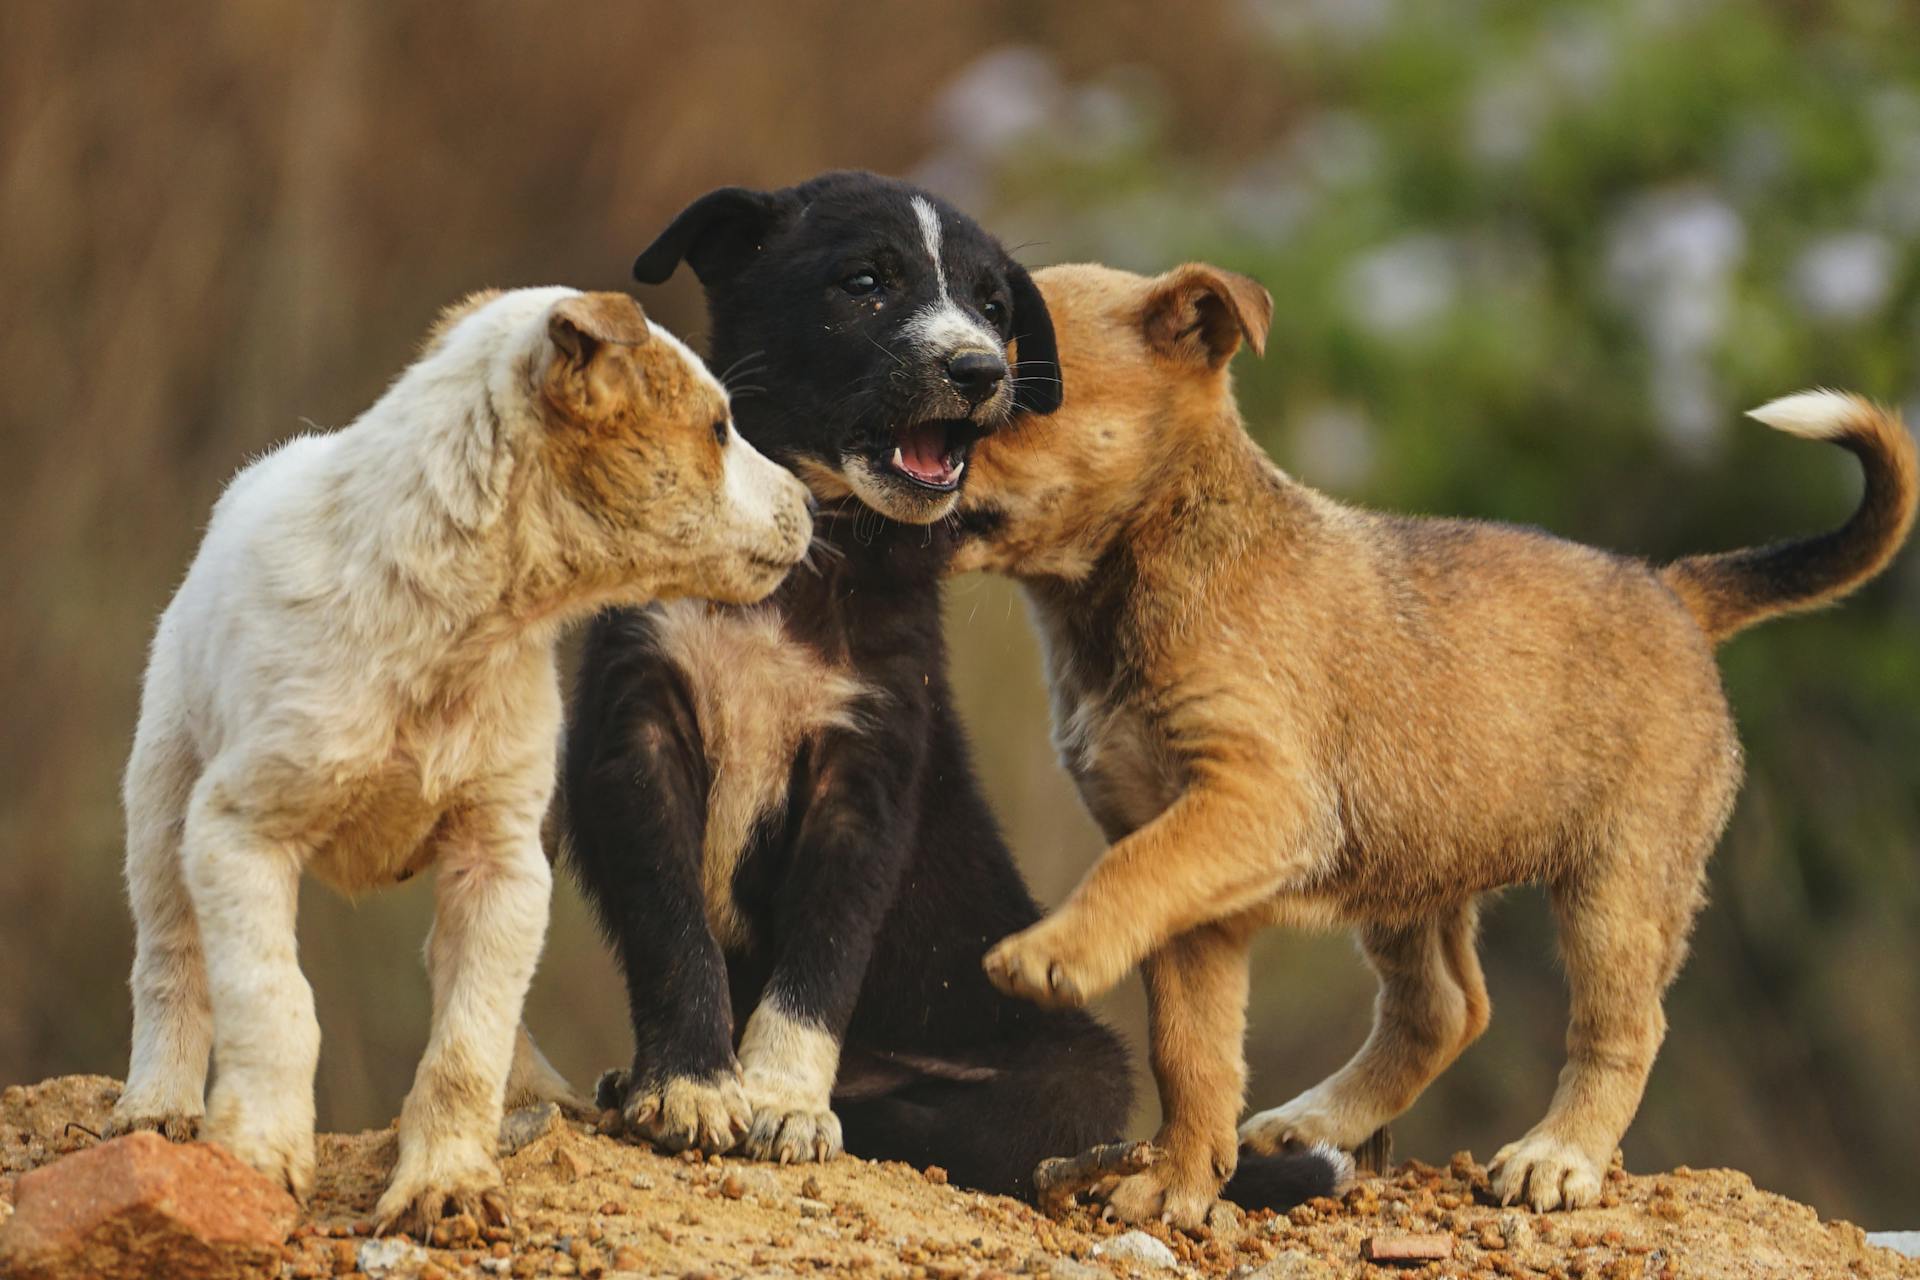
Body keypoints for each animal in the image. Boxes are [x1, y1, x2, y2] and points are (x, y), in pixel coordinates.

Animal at [107, 285, 810, 1235]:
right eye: (719, 429)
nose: (813, 502)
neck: (461, 629)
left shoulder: (501, 859)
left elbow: (465, 1042)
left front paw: (446, 1181)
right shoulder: (239, 831)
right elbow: (274, 1003)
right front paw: (258, 1154)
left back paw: (537, 1094)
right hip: (162, 802)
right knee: (170, 962)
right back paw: (157, 1106)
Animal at [952, 257, 1912, 1220]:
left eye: (1017, 394)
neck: (1147, 562)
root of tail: (1674, 589)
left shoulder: (1255, 800)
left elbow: (1125, 879)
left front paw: (1051, 955)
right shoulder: (1194, 883)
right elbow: (1191, 1050)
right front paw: (1178, 1185)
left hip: (1616, 885)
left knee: (1622, 1027)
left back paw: (1559, 1155)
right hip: (1411, 863)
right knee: (1446, 1010)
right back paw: (1315, 1122)